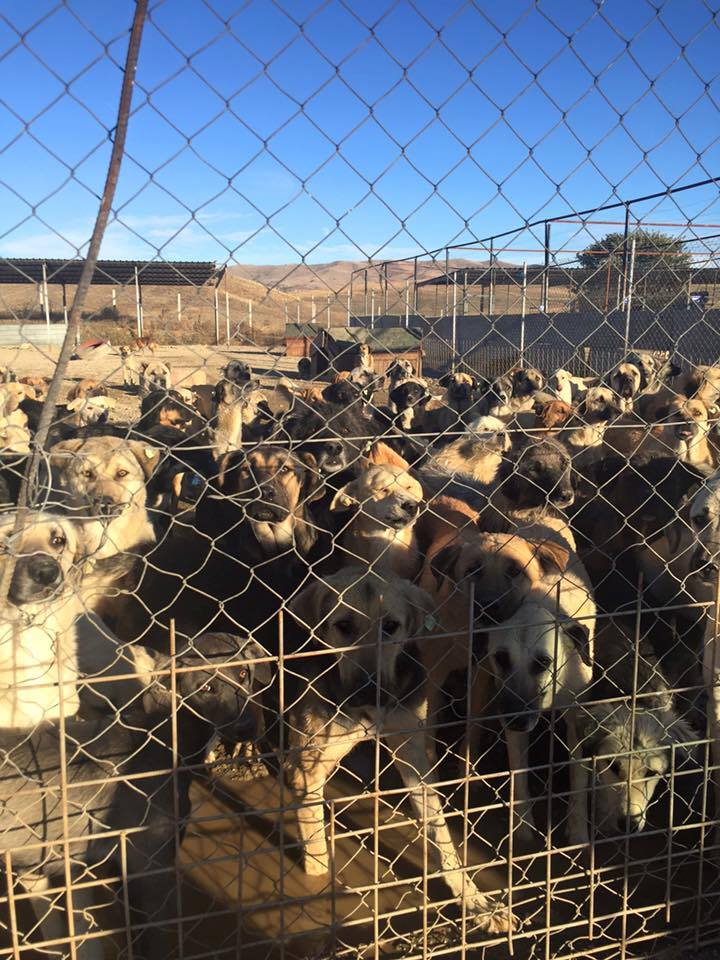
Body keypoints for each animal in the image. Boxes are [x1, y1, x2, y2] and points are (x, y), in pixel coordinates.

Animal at [284, 568, 516, 932]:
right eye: (343, 626)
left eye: (391, 626)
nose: (370, 691)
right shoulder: (307, 766)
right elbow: (313, 835)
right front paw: (316, 878)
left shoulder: (414, 755)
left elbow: (442, 838)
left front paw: (477, 903)